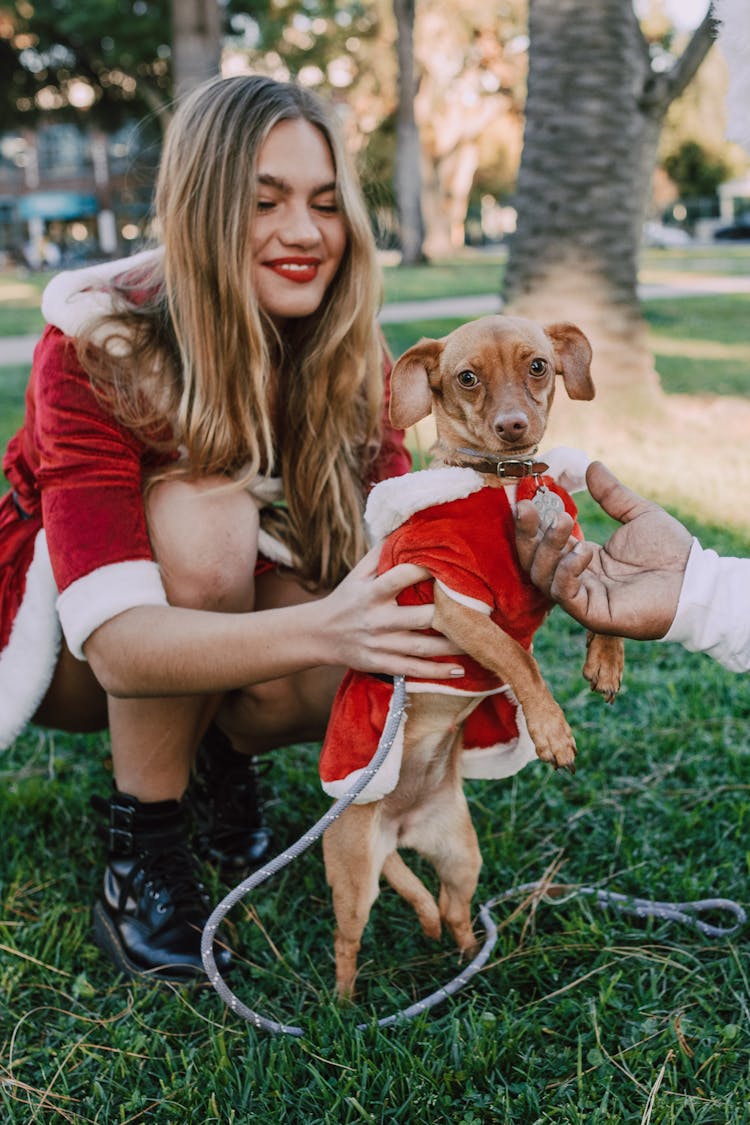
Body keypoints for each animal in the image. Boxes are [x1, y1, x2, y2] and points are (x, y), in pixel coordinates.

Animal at [319, 312, 625, 999]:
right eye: (466, 378)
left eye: (537, 365)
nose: (513, 425)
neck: (506, 482)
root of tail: (399, 828)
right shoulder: (456, 603)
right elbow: (519, 658)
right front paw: (551, 728)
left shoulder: (563, 558)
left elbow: (599, 590)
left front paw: (606, 660)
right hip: (355, 878)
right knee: (347, 943)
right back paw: (343, 1006)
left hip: (462, 856)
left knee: (453, 909)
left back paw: (467, 965)